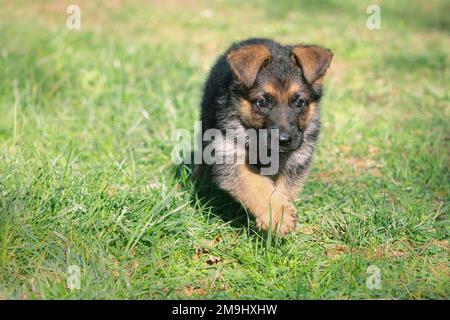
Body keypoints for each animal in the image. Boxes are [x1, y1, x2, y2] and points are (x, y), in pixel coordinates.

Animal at [195, 38, 332, 236]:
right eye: (262, 102)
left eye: (299, 102)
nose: (284, 140)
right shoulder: (231, 157)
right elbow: (257, 186)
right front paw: (278, 216)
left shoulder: (295, 161)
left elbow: (283, 191)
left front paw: (279, 215)